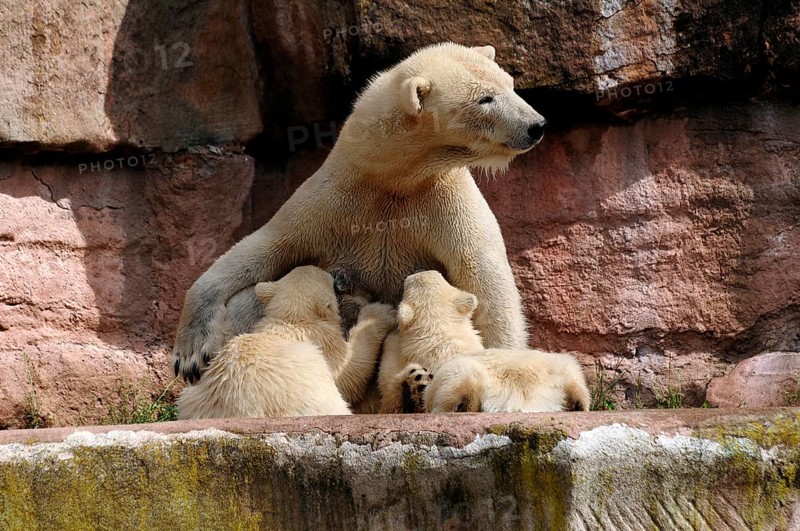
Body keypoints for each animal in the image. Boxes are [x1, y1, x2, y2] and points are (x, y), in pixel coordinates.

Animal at [173, 42, 548, 383]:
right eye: (486, 98)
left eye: (510, 85)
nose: (536, 125)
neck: (392, 177)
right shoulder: (334, 199)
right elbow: (264, 248)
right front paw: (190, 355)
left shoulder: (444, 197)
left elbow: (483, 277)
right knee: (247, 300)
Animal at [177, 266, 395, 419]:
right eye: (330, 280)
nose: (337, 277)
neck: (290, 322)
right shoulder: (323, 345)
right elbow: (351, 371)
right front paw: (381, 312)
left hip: (193, 399)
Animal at [377, 270, 590, 414]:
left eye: (408, 283)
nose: (420, 270)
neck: (445, 343)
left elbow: (389, 398)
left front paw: (413, 380)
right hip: (559, 369)